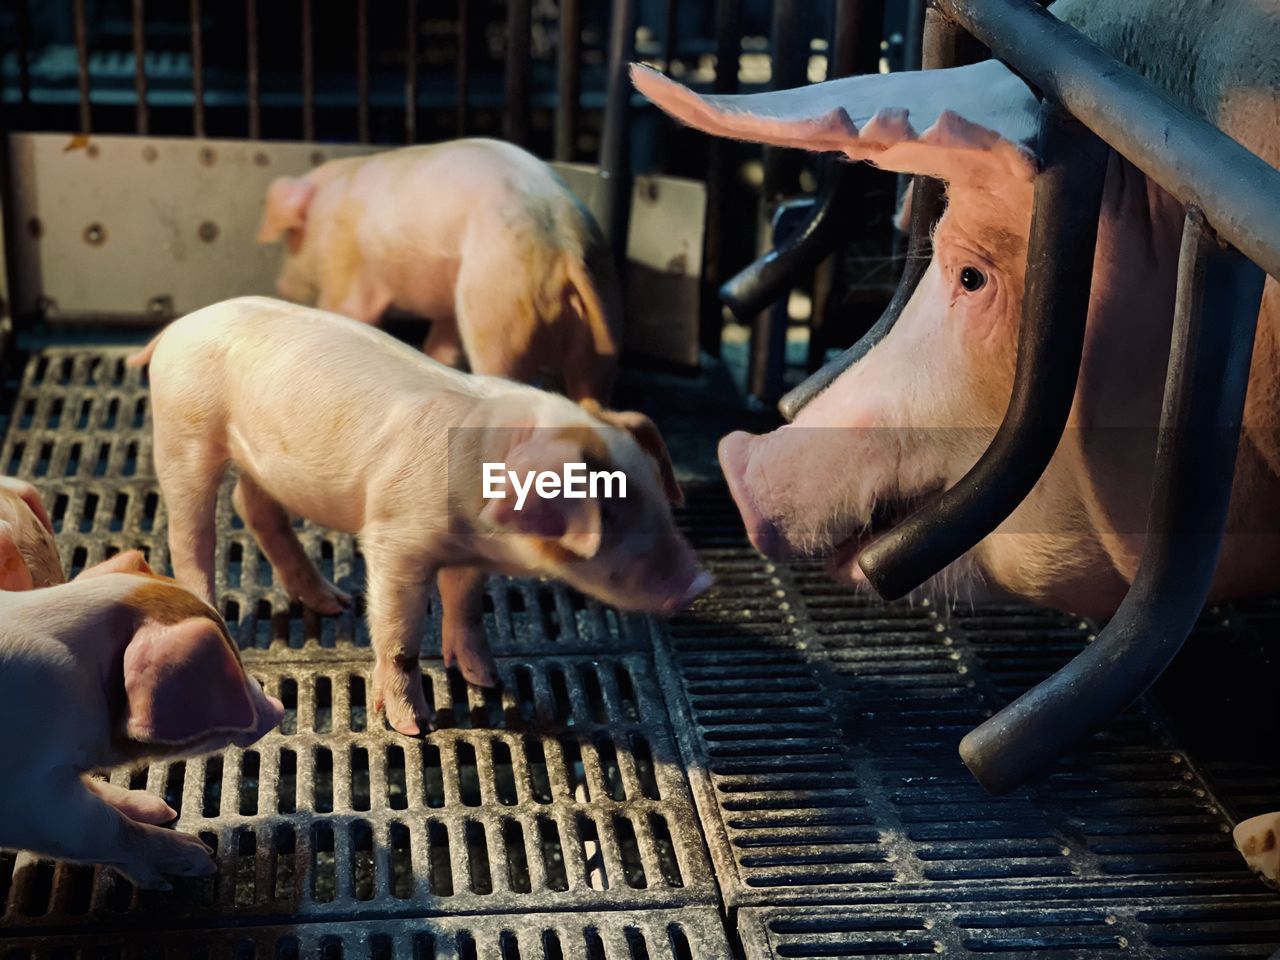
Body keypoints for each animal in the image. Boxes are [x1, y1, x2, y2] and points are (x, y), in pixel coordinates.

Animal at [257, 138, 622, 401]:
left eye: (290, 235)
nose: (279, 286)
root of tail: (565, 246)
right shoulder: (447, 304)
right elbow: (443, 341)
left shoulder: (346, 264)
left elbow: (347, 311)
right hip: (601, 314)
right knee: (590, 388)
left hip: (499, 307)